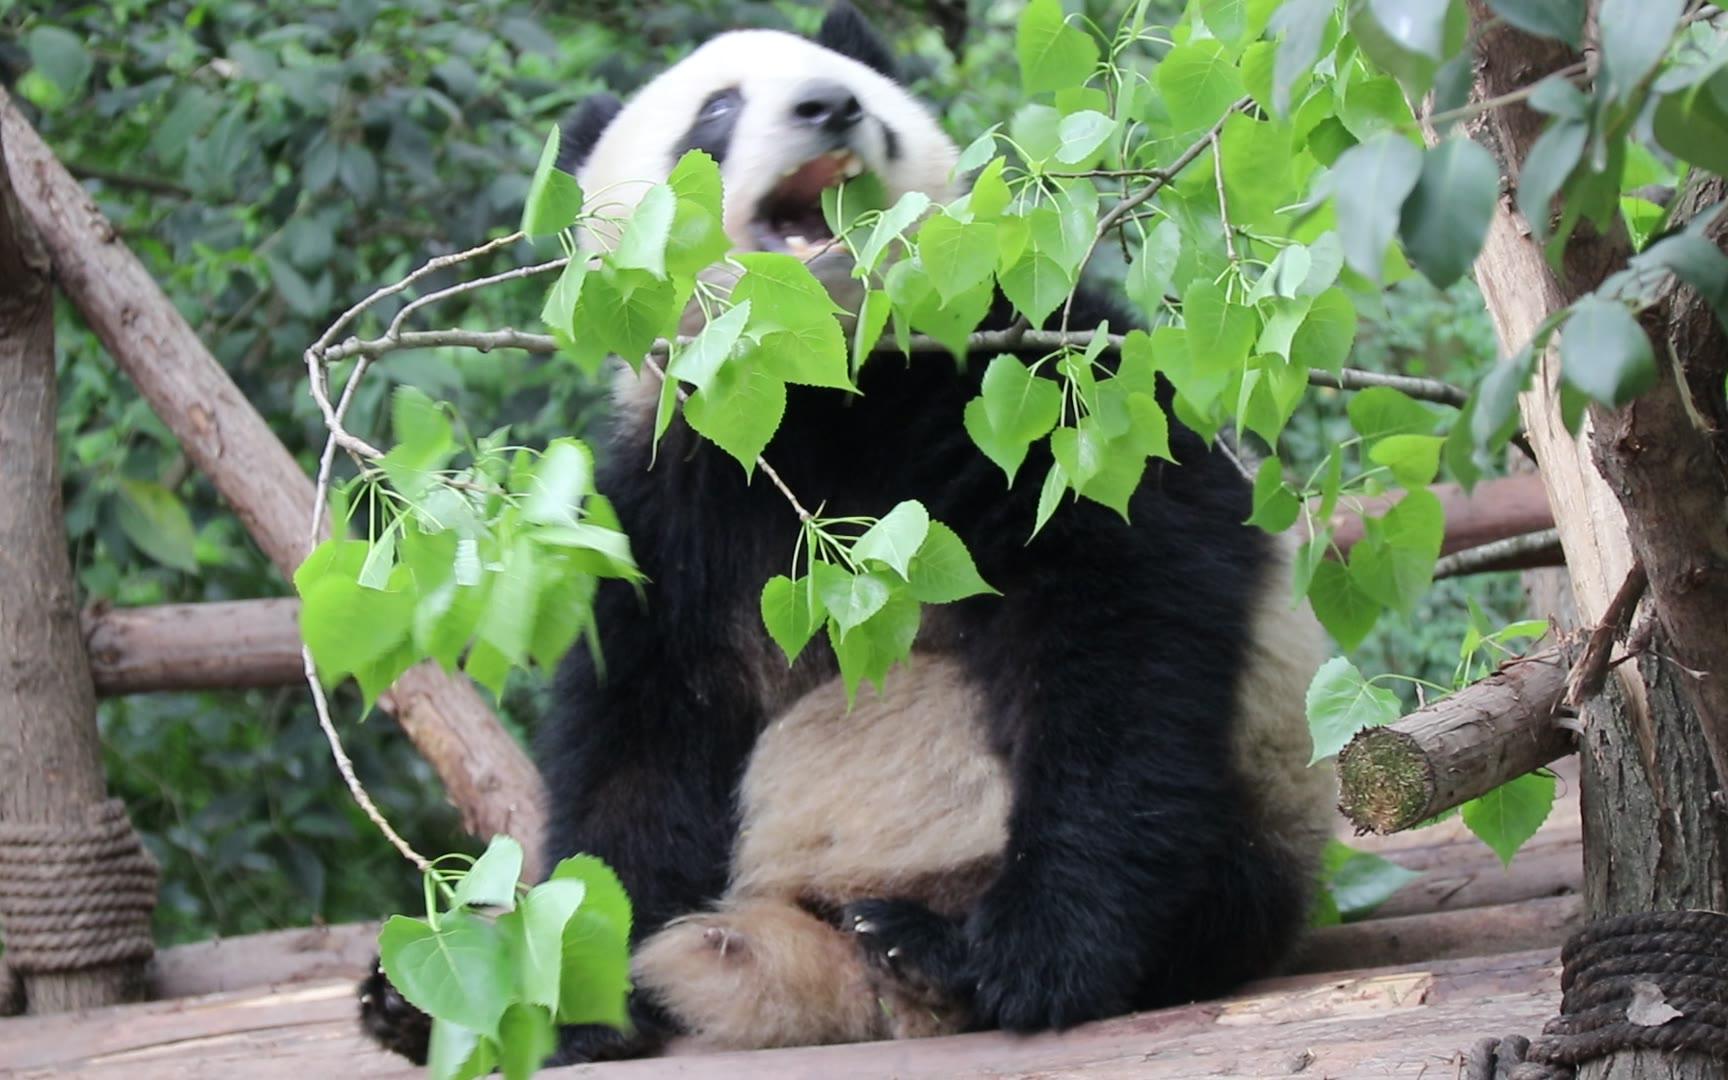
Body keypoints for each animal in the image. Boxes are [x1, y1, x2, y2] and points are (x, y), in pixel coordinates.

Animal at [361, 0, 1334, 1064]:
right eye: (716, 112)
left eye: (860, 95)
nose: (831, 108)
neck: (811, 372)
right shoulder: (677, 499)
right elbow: (644, 740)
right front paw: (576, 991)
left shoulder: (1016, 380)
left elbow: (1122, 611)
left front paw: (1039, 952)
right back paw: (429, 999)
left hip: (1253, 810)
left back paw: (929, 949)